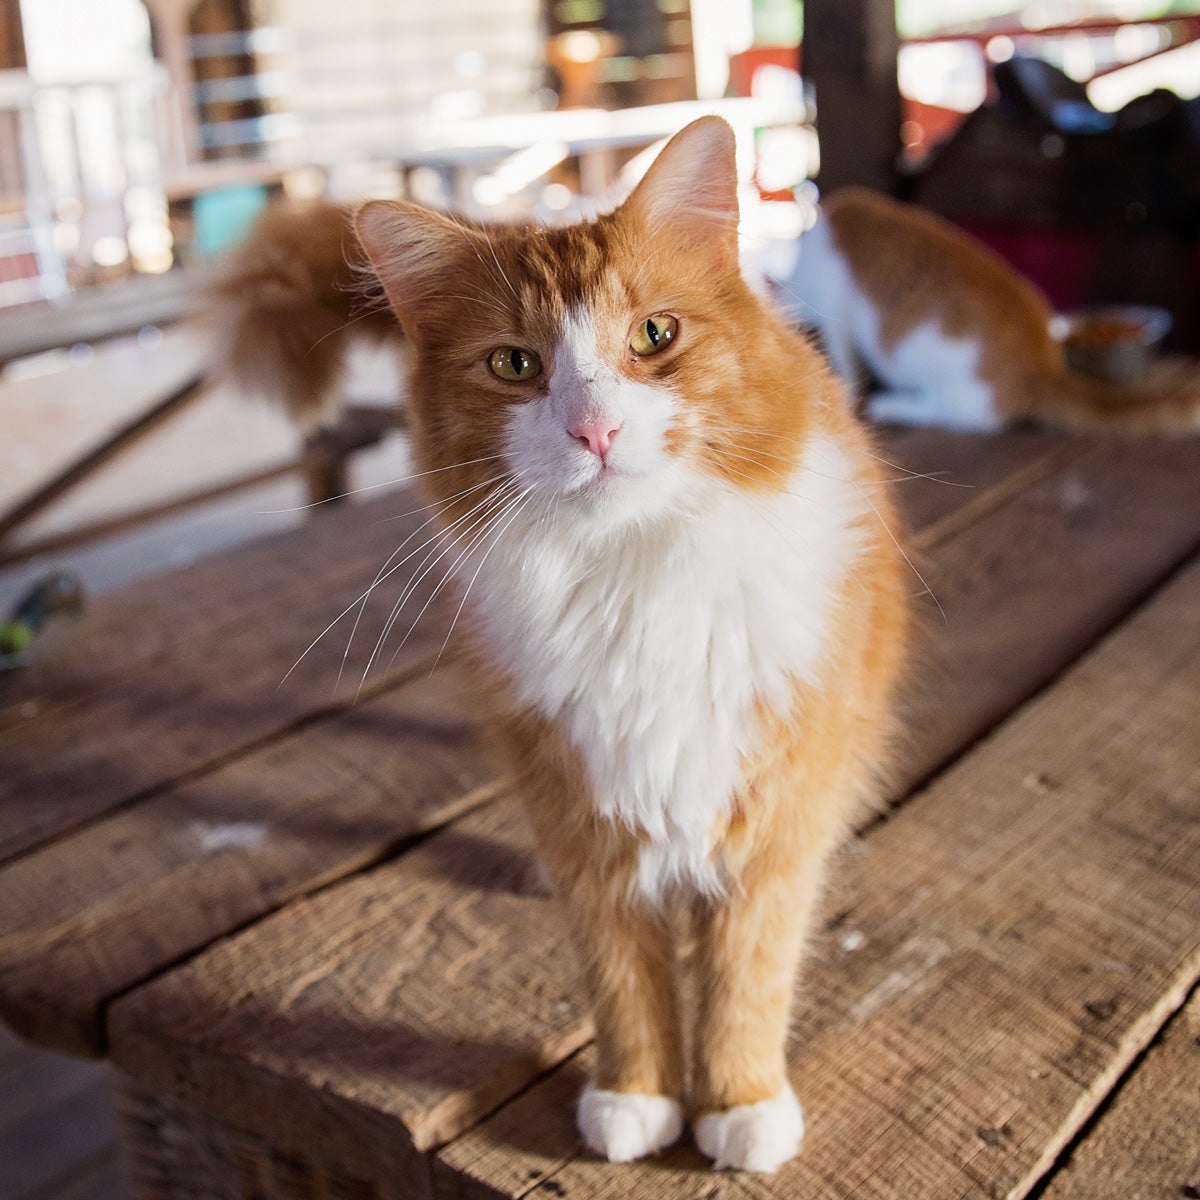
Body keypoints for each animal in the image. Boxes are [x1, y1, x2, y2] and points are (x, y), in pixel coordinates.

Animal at [354, 117, 908, 1173]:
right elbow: (622, 979)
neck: (638, 584)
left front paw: (739, 1103)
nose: (596, 430)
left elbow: (746, 974)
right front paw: (637, 1094)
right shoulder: (581, 816)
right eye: (514, 365)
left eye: (654, 335)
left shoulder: (775, 815)